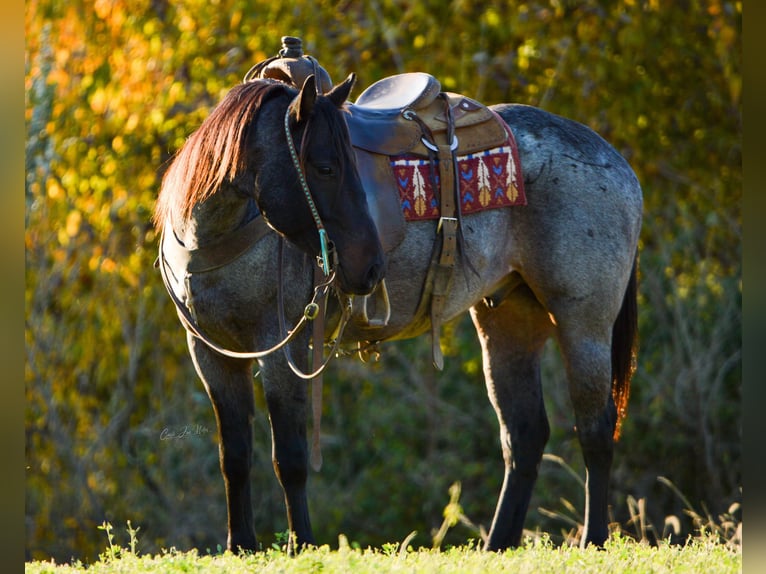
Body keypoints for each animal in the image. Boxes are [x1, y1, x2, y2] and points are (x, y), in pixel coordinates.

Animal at [154, 51, 640, 556]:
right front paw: (241, 546)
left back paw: (594, 540)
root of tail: (615, 162)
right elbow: (234, 454)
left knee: (596, 426)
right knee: (525, 434)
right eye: (325, 167)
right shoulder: (212, 354)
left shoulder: (281, 349)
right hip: (508, 320)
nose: (370, 266)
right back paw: (497, 545)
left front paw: (302, 544)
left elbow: (289, 457)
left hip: (584, 322)